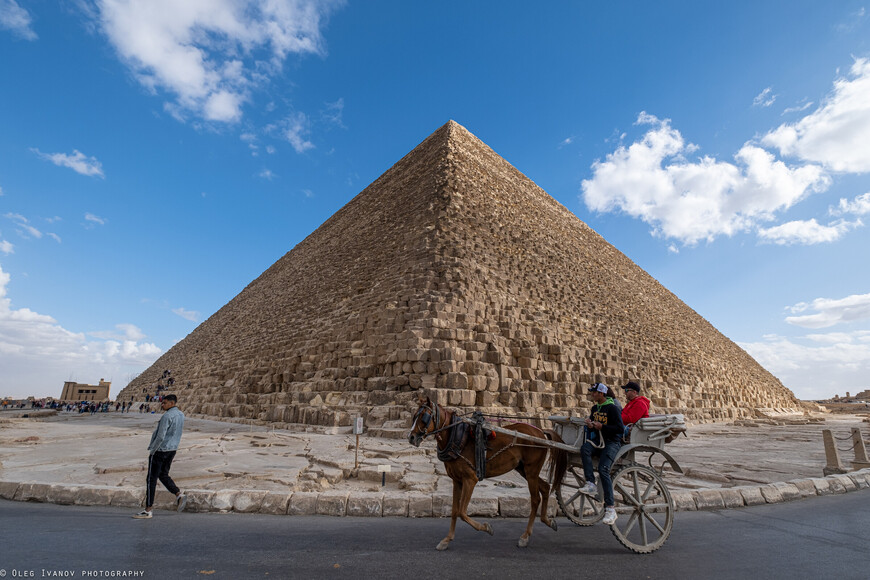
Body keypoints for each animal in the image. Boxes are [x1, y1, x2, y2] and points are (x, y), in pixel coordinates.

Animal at [410, 392, 572, 552]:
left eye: (424, 417)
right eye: (414, 416)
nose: (411, 437)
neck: (457, 438)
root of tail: (540, 432)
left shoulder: (471, 479)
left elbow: (462, 512)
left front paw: (486, 527)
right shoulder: (457, 480)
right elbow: (455, 511)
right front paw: (447, 540)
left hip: (531, 470)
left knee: (535, 499)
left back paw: (525, 536)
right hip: (524, 470)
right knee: (545, 488)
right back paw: (547, 521)